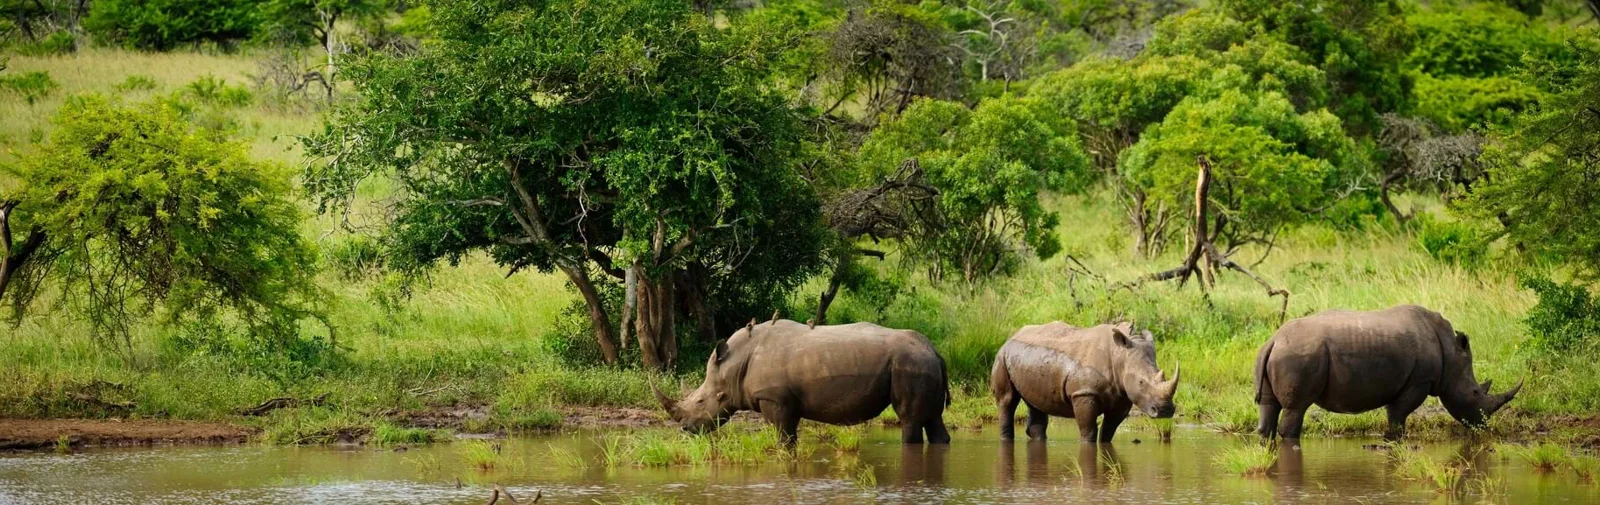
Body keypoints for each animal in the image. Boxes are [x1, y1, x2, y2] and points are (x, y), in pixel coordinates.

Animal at [653, 319, 951, 447]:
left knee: (910, 419)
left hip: (911, 365)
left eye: (700, 401)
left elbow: (784, 439)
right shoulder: (787, 402)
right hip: (922, 364)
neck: (733, 366)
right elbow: (790, 436)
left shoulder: (774, 399)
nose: (686, 430)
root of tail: (935, 351)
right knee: (933, 418)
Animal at [990, 322, 1179, 442]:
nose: (1165, 410)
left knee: (1036, 403)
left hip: (1029, 359)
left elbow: (1108, 431)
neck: (1119, 355)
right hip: (1002, 355)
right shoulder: (1084, 393)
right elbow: (1089, 431)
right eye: (1141, 382)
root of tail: (1012, 335)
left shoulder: (1122, 396)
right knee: (1007, 400)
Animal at [1255, 305, 1523, 441]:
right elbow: (1397, 416)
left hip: (1280, 352)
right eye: (1475, 392)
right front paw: (1395, 439)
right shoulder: (1420, 380)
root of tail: (1274, 340)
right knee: (1296, 408)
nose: (1482, 425)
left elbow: (1395, 414)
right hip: (1299, 355)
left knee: (1269, 407)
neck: (1451, 353)